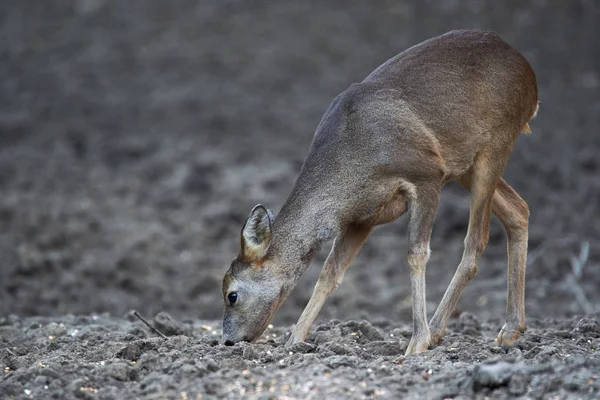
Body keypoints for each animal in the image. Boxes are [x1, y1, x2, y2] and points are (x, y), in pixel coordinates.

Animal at [220, 29, 540, 354]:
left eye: (231, 294)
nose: (228, 341)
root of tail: (529, 74)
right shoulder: (361, 217)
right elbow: (330, 272)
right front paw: (294, 340)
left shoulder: (427, 174)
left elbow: (416, 253)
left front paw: (417, 342)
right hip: (465, 162)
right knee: (518, 209)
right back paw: (510, 329)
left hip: (496, 140)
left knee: (476, 241)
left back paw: (437, 330)